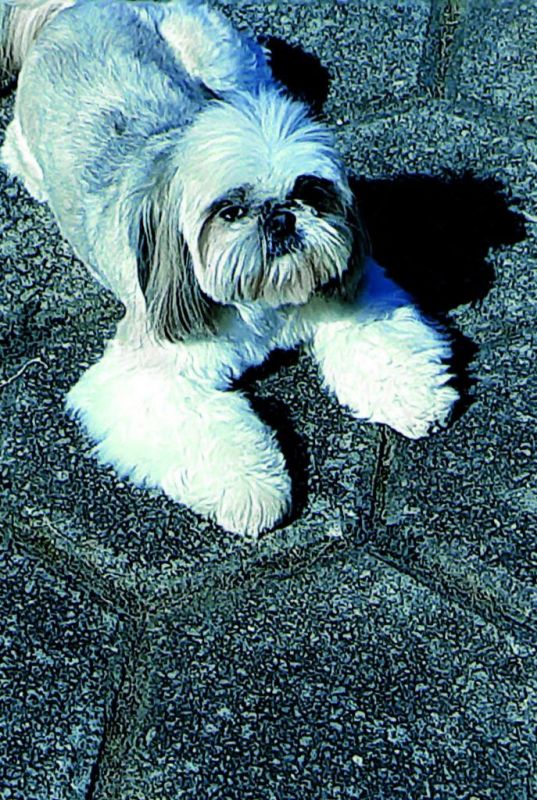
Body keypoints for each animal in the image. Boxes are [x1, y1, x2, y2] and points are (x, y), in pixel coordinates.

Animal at [0, 0, 458, 537]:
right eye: (230, 211)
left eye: (309, 191)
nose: (281, 218)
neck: (262, 305)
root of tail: (73, 8)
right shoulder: (145, 373)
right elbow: (199, 427)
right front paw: (252, 487)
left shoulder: (346, 288)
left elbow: (379, 343)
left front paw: (410, 391)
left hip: (222, 59)